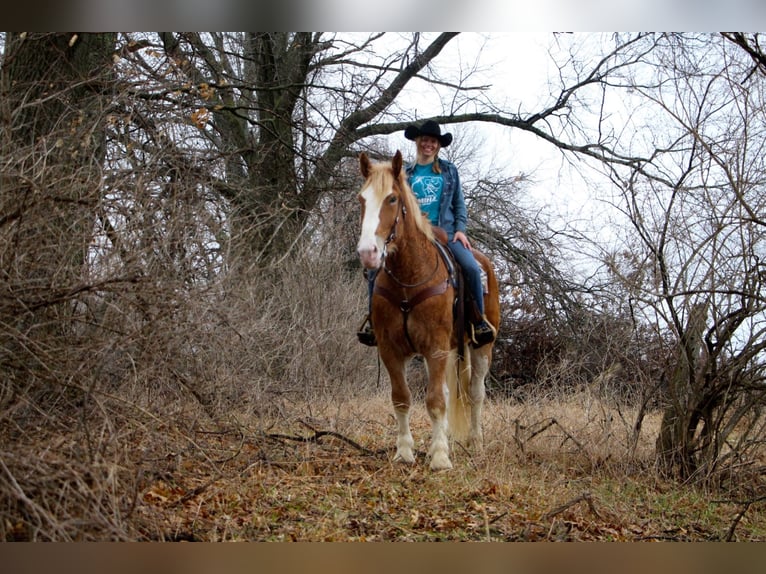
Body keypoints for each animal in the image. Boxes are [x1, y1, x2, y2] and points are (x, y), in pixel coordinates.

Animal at [356, 150, 500, 472]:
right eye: (362, 199)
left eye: (392, 199)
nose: (368, 253)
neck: (409, 276)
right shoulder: (391, 349)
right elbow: (402, 398)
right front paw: (405, 452)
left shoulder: (435, 346)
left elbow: (435, 401)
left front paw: (440, 458)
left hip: (481, 348)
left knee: (476, 393)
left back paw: (475, 442)